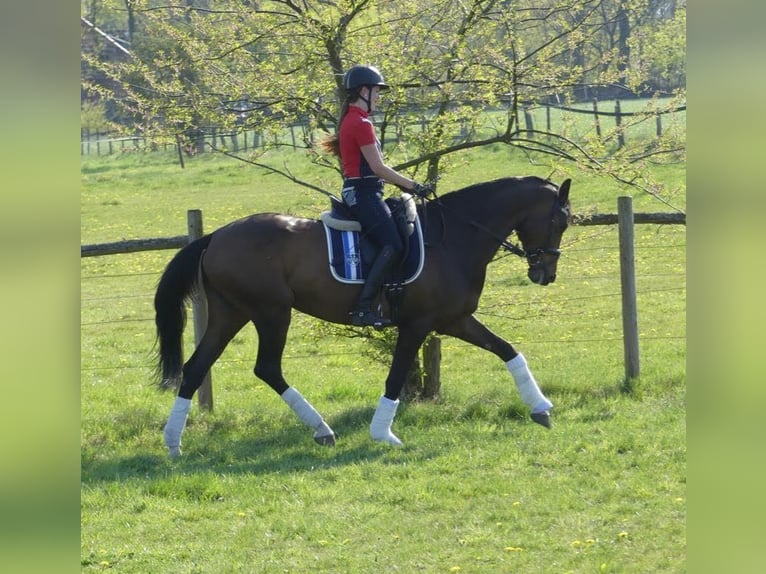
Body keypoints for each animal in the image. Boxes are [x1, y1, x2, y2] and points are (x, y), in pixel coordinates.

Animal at [155, 175, 572, 456]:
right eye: (560, 221)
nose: (545, 274)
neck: (454, 237)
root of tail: (216, 236)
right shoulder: (417, 325)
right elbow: (396, 377)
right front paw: (383, 434)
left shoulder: (454, 320)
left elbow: (508, 350)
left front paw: (541, 408)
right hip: (271, 312)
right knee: (267, 368)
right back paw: (321, 429)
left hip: (231, 314)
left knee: (195, 368)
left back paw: (173, 442)